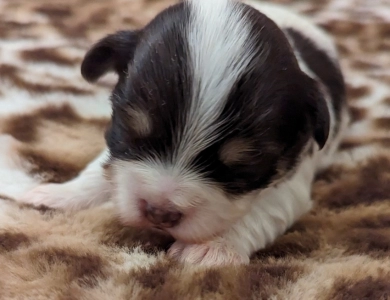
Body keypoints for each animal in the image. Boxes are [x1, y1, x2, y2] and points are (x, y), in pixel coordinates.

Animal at [19, 0, 348, 268]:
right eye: (130, 131)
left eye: (245, 166)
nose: (160, 213)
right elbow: (102, 169)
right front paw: (61, 194)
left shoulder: (291, 183)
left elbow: (262, 211)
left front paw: (213, 247)